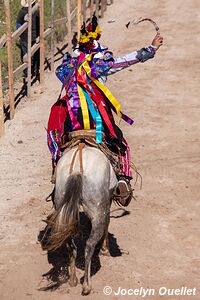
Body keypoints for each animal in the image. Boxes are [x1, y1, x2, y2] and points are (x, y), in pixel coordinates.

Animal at [45, 143, 117, 296]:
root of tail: (77, 170)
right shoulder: (108, 201)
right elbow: (108, 222)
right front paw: (105, 249)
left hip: (63, 206)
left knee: (70, 245)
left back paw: (73, 280)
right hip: (97, 210)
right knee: (89, 245)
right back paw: (86, 286)